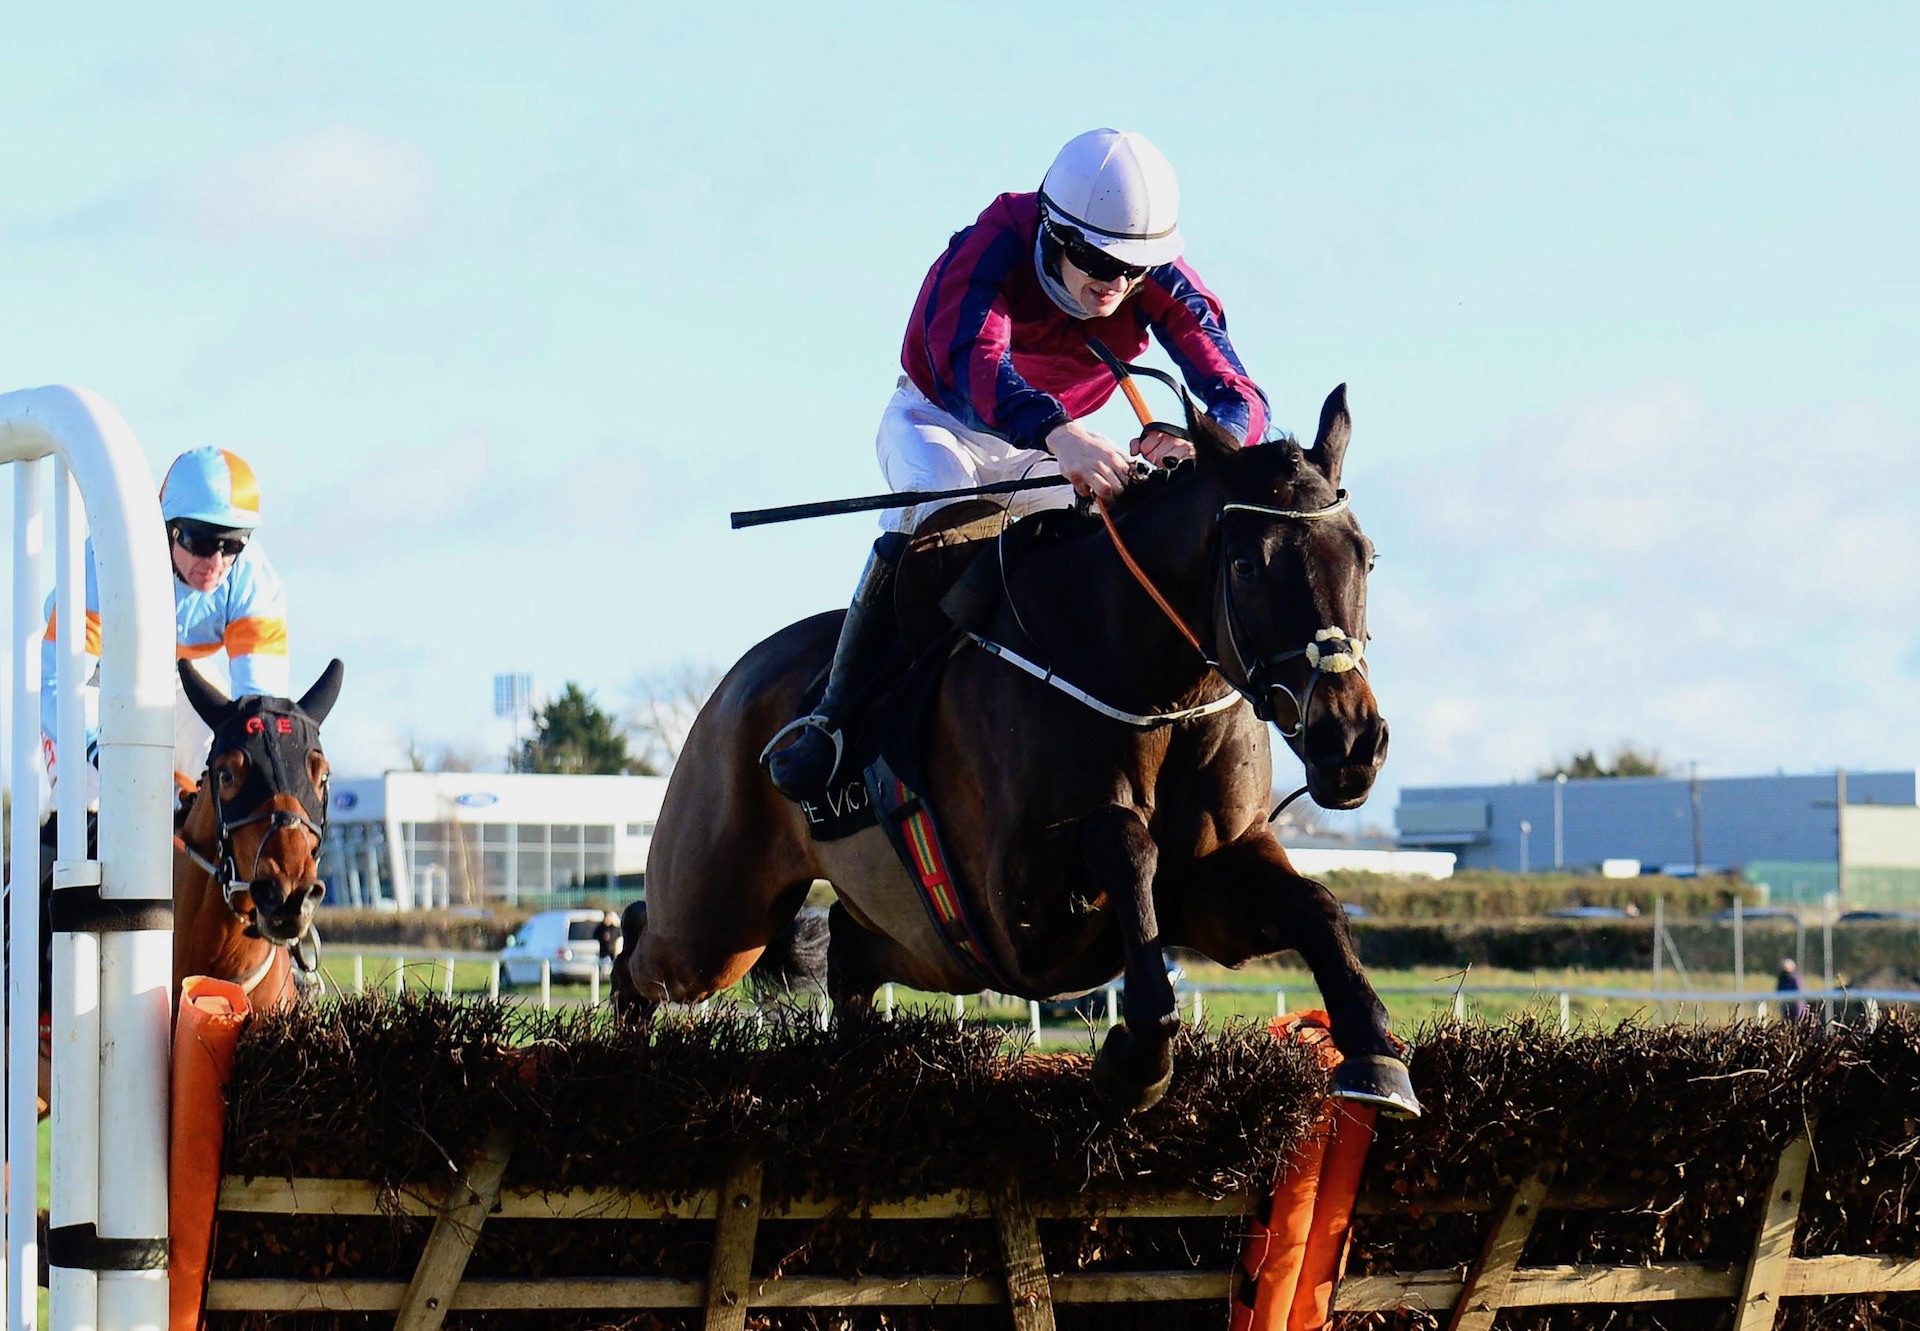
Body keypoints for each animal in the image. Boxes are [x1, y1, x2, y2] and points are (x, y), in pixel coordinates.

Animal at [622, 384, 1420, 1113]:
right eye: (1249, 565)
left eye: (1367, 558)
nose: (1350, 739)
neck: (1151, 694)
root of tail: (733, 683)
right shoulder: (1019, 914)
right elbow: (1126, 844)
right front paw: (1135, 1056)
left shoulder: (1213, 877)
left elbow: (1316, 905)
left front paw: (1374, 1050)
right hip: (715, 920)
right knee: (640, 943)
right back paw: (633, 1056)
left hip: (911, 939)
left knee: (846, 953)